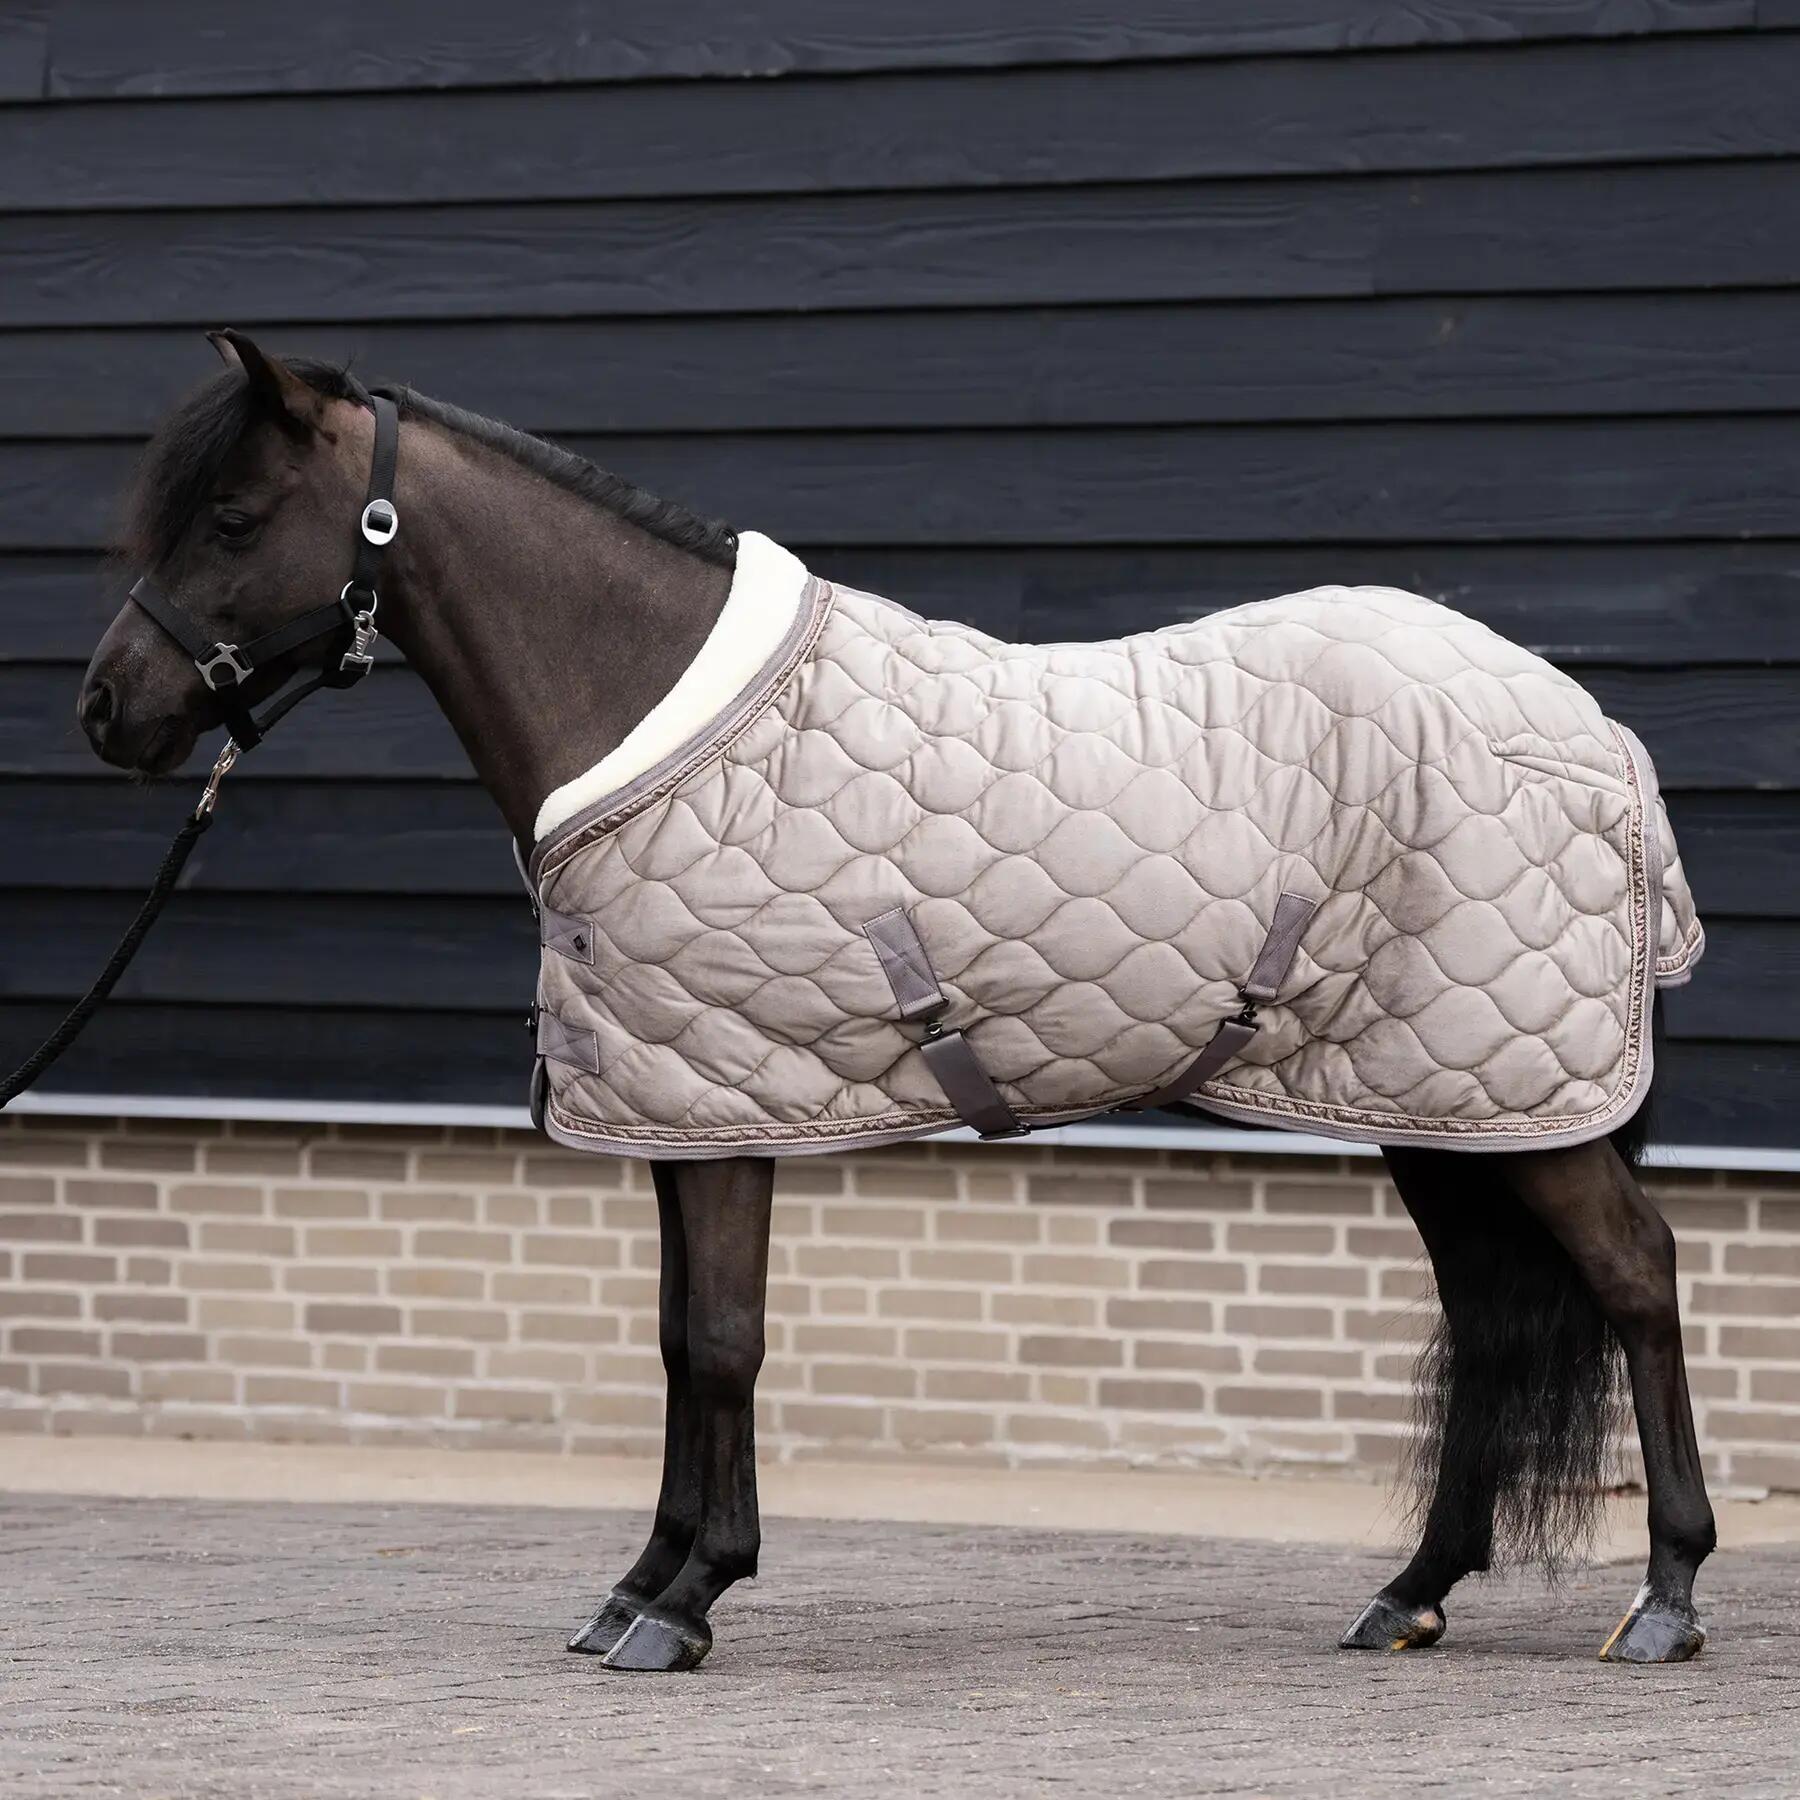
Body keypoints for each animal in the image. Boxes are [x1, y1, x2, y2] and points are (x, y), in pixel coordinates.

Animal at [74, 331, 1716, 1673]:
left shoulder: (729, 1108)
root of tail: (1584, 724)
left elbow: (723, 1342)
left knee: (1637, 1276)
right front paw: (639, 1585)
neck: (659, 711)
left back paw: (1667, 1599)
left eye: (233, 519)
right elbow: (674, 1344)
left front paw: (686, 1604)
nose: (107, 711)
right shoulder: (680, 1110)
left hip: (1510, 1093)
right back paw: (1413, 1593)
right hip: (1434, 1101)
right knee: (1491, 1320)